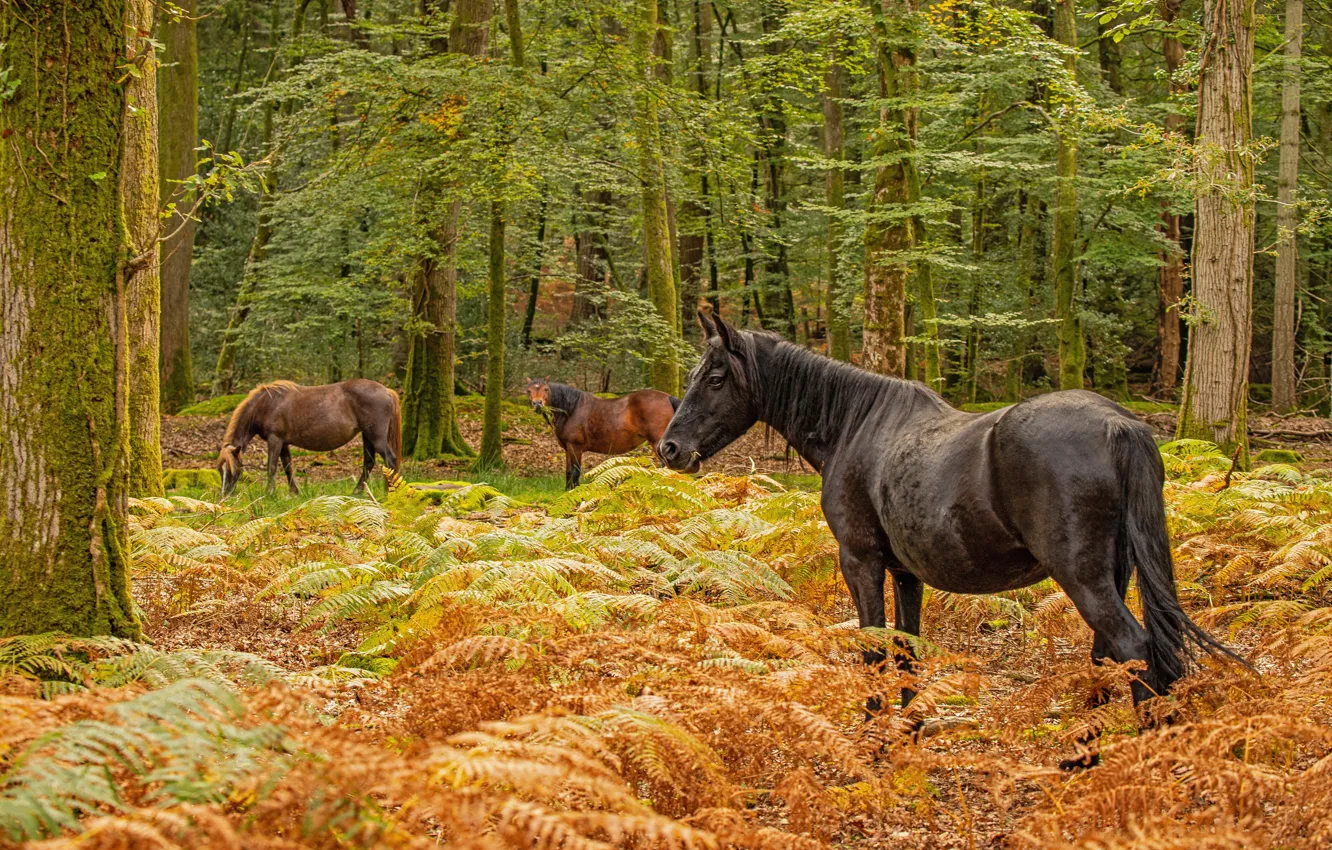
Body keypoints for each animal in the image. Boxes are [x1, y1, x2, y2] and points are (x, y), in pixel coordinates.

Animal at [217, 379, 401, 498]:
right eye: (220, 470)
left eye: (232, 469)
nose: (224, 497)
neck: (266, 404)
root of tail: (386, 390)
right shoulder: (283, 442)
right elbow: (288, 466)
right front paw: (295, 492)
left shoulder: (274, 439)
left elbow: (272, 467)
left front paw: (269, 493)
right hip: (366, 435)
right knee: (369, 463)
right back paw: (357, 492)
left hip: (376, 436)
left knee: (390, 459)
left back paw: (389, 492)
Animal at [524, 378, 681, 489]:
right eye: (528, 390)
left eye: (546, 389)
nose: (537, 404)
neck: (571, 410)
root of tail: (668, 398)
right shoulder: (568, 449)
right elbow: (568, 472)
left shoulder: (575, 447)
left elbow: (575, 472)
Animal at [659, 311, 1243, 766]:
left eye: (716, 378)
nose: (669, 449)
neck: (855, 425)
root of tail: (1120, 425)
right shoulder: (905, 573)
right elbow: (906, 650)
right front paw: (909, 733)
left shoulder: (860, 561)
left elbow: (873, 651)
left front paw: (872, 744)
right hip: (1113, 574)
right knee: (1109, 655)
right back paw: (1081, 758)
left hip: (1083, 577)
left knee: (1133, 649)